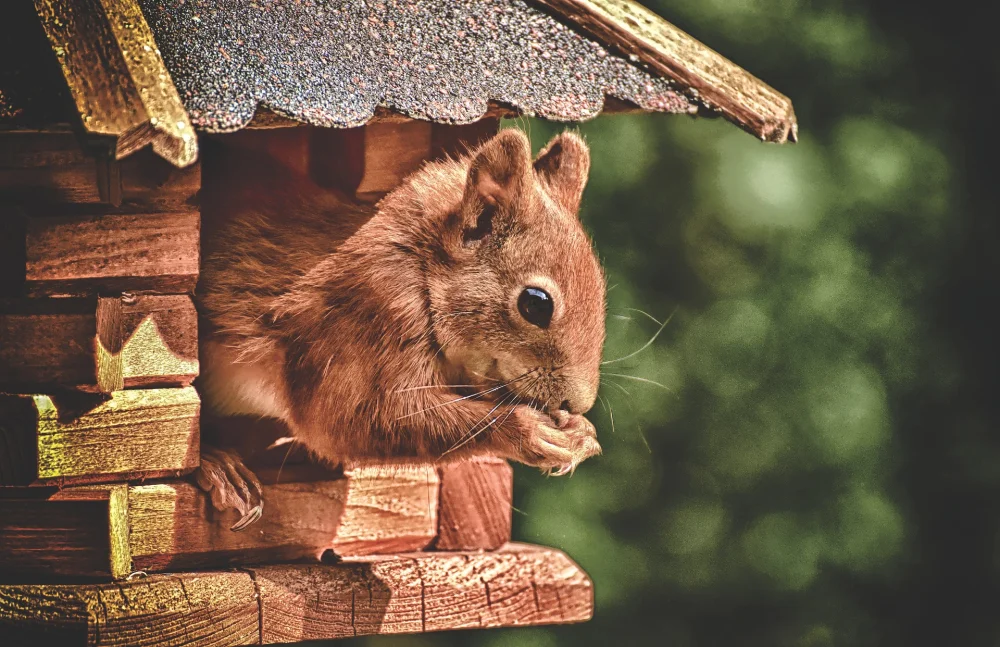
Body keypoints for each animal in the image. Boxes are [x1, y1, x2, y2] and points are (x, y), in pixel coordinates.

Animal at [195, 128, 606, 529]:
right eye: (536, 304)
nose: (576, 403)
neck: (420, 264)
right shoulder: (365, 314)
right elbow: (352, 420)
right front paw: (529, 430)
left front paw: (581, 432)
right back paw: (218, 465)